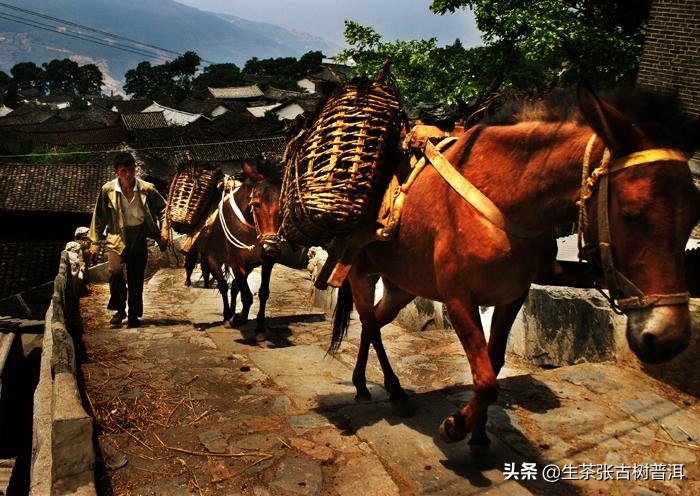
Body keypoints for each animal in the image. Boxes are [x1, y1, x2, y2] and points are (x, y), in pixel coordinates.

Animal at [329, 85, 700, 446]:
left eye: (691, 220)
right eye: (631, 213)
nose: (667, 338)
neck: (509, 197)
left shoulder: (513, 294)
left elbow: (493, 363)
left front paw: (479, 434)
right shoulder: (459, 299)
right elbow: (486, 380)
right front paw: (456, 426)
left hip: (401, 287)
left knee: (374, 322)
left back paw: (369, 384)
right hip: (361, 276)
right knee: (371, 325)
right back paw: (385, 388)